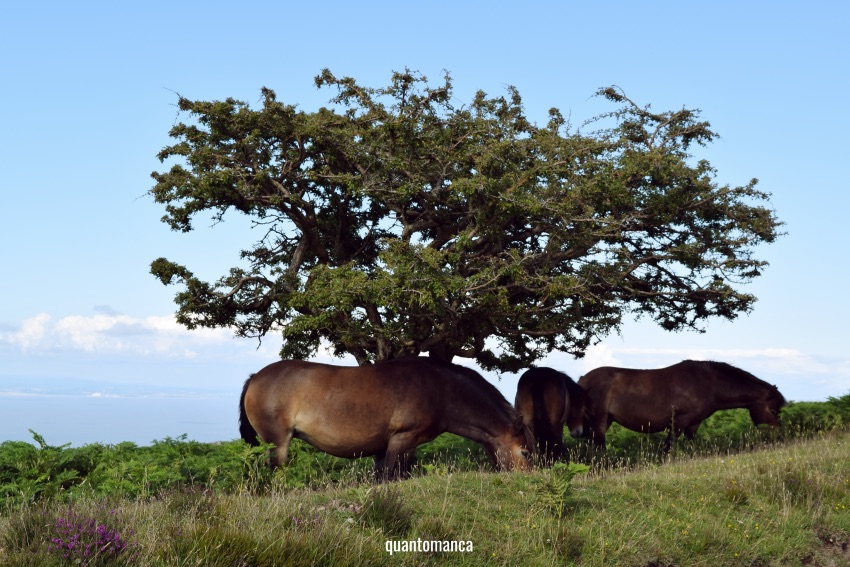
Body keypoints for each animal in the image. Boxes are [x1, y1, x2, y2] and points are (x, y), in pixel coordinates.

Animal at [237, 360, 528, 480]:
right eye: (525, 452)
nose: (528, 476)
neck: (439, 390)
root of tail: (255, 377)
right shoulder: (400, 439)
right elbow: (387, 477)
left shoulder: (403, 445)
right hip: (278, 443)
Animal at [572, 360, 784, 452]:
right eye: (773, 409)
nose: (776, 437)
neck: (707, 383)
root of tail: (582, 380)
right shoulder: (679, 421)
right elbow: (668, 447)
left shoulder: (694, 423)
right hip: (599, 420)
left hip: (605, 421)